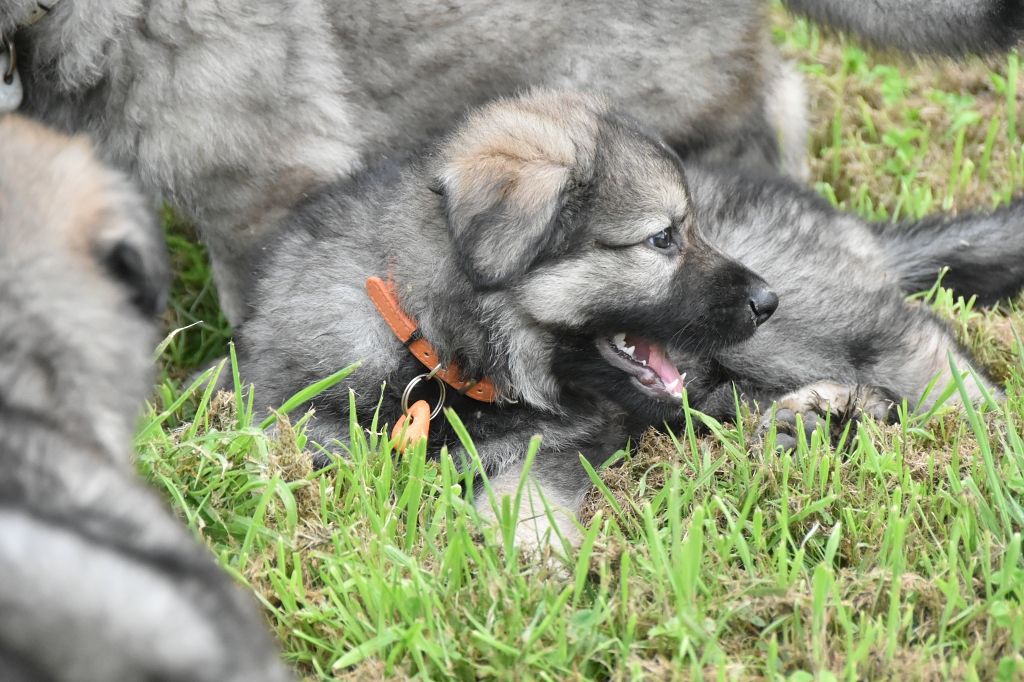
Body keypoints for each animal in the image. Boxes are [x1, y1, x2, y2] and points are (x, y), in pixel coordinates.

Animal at [234, 89, 1016, 548]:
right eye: (663, 238)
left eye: (689, 230)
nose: (765, 300)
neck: (442, 354)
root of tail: (847, 222)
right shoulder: (292, 412)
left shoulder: (559, 438)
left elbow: (522, 492)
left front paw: (528, 557)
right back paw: (815, 418)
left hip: (790, 325)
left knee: (912, 337)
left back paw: (975, 419)